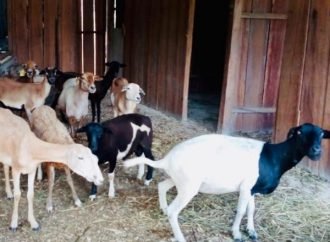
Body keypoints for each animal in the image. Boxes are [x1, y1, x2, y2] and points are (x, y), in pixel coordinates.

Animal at [125, 124, 328, 241]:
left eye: (321, 134)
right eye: (299, 132)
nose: (316, 151)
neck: (274, 157)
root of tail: (167, 159)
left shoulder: (252, 188)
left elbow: (251, 209)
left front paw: (251, 231)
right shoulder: (246, 188)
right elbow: (241, 210)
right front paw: (236, 234)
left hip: (182, 181)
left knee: (162, 187)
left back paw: (163, 208)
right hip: (188, 186)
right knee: (174, 212)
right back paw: (180, 236)